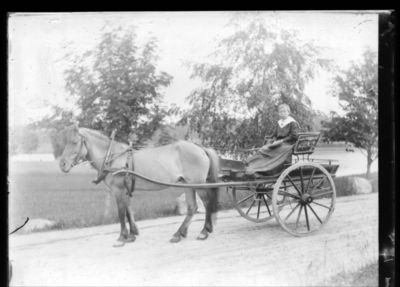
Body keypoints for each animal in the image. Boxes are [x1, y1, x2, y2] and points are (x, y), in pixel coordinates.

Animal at [59, 125, 220, 244]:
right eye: (65, 141)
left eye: (74, 142)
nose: (62, 165)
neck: (113, 157)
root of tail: (200, 148)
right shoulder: (125, 190)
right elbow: (129, 210)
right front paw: (132, 234)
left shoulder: (119, 190)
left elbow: (121, 212)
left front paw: (122, 237)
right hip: (187, 185)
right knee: (192, 207)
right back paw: (179, 234)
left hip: (197, 184)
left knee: (207, 203)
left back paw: (204, 231)